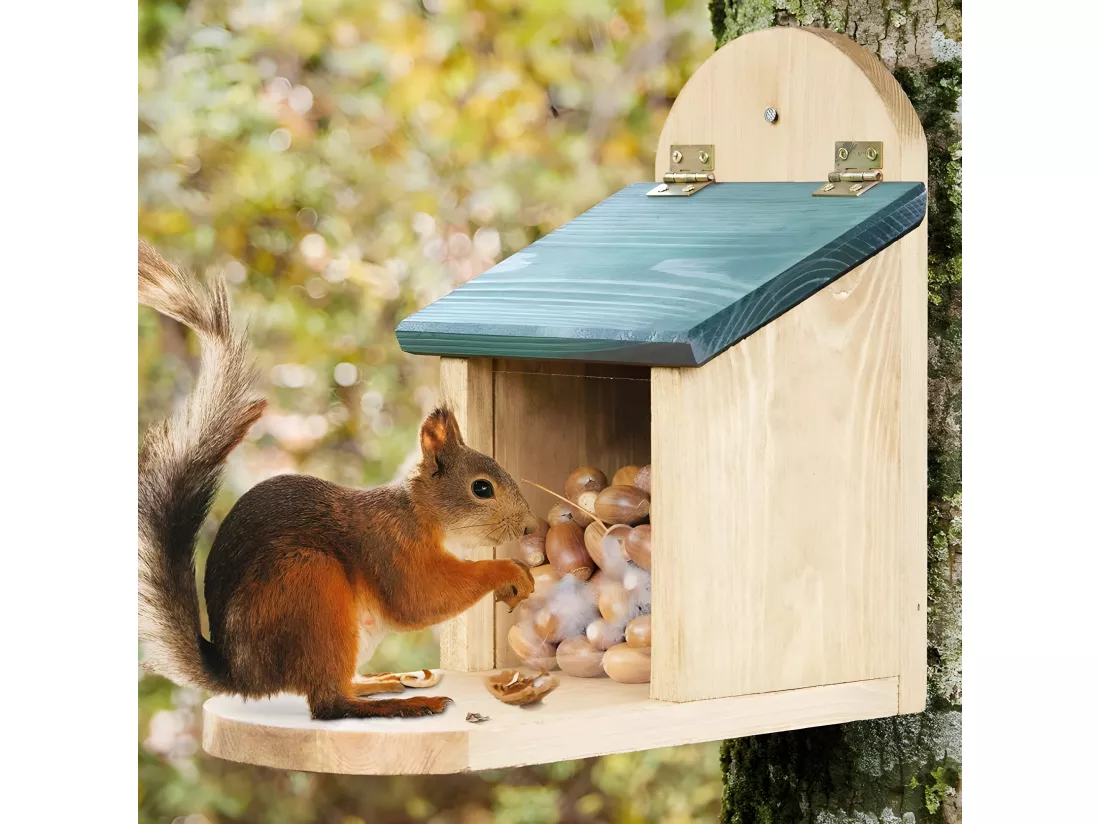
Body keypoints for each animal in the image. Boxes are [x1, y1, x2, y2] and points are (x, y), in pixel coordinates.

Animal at [137, 239, 538, 720]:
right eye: (482, 488)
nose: (528, 526)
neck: (422, 514)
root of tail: (243, 675)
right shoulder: (391, 545)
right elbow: (420, 598)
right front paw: (506, 570)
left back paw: (377, 683)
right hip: (310, 587)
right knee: (328, 704)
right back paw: (404, 703)